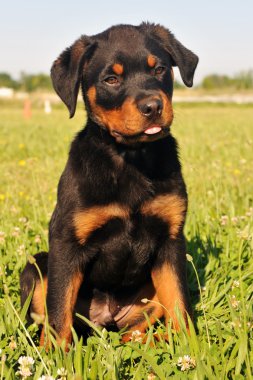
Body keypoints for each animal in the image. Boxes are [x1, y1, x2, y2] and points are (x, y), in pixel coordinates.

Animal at [20, 22, 198, 346]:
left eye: (159, 69)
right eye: (111, 79)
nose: (153, 106)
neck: (130, 157)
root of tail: (103, 319)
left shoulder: (171, 240)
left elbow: (180, 301)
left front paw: (192, 347)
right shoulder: (66, 241)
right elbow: (58, 309)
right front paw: (55, 355)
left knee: (136, 332)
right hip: (36, 266)